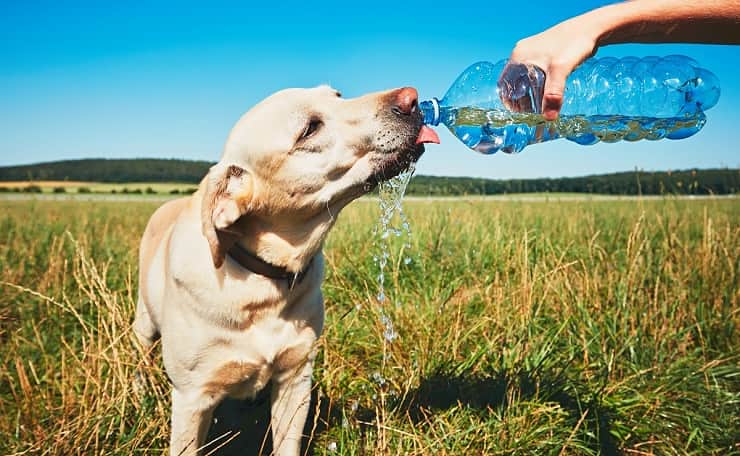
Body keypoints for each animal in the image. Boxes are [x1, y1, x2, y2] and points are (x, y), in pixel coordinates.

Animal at [134, 86, 440, 456]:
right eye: (310, 129)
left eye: (337, 95)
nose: (412, 98)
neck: (262, 282)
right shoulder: (192, 397)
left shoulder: (296, 379)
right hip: (144, 324)